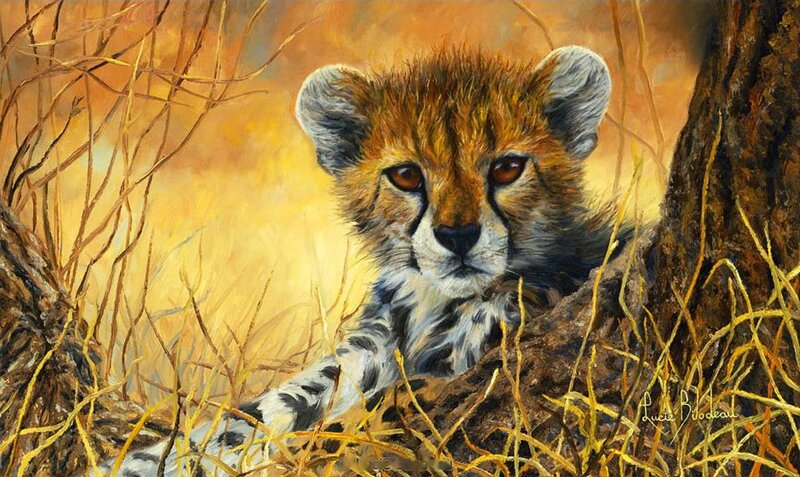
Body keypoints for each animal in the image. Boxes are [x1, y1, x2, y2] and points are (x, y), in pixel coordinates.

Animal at [99, 45, 628, 476]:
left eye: (507, 168)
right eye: (407, 176)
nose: (457, 236)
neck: (431, 302)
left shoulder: (456, 372)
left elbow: (351, 425)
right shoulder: (370, 350)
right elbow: (268, 408)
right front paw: (144, 458)